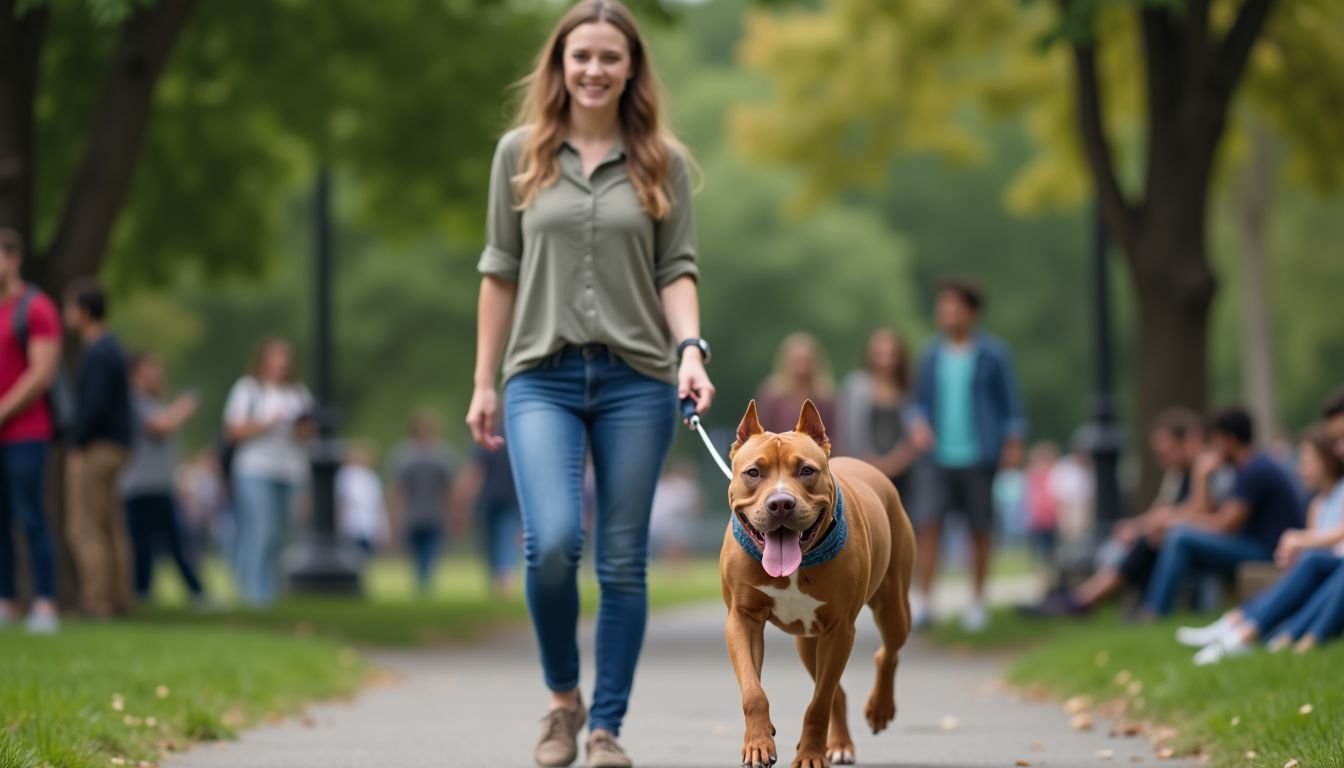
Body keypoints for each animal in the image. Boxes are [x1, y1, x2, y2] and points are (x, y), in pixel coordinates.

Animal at [720, 400, 919, 763]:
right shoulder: (742, 619)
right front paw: (758, 743)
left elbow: (818, 704)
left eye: (806, 471)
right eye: (753, 472)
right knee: (837, 690)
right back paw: (839, 744)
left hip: (892, 608)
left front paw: (810, 756)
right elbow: (754, 692)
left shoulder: (840, 629)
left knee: (887, 652)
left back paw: (879, 709)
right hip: (807, 641)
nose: (780, 503)